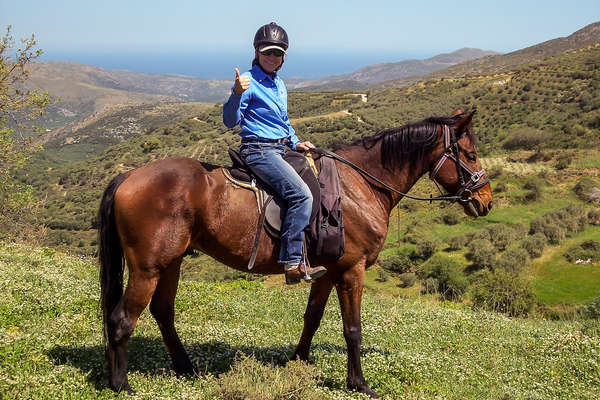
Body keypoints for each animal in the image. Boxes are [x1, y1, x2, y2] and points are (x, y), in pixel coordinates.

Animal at [98, 111, 492, 398]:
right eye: (470, 155)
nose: (485, 201)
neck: (359, 186)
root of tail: (128, 177)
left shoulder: (329, 270)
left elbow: (312, 318)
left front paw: (298, 363)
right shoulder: (352, 270)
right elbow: (353, 329)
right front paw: (359, 384)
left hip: (172, 262)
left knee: (162, 312)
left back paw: (186, 368)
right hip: (148, 267)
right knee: (121, 319)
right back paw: (121, 384)